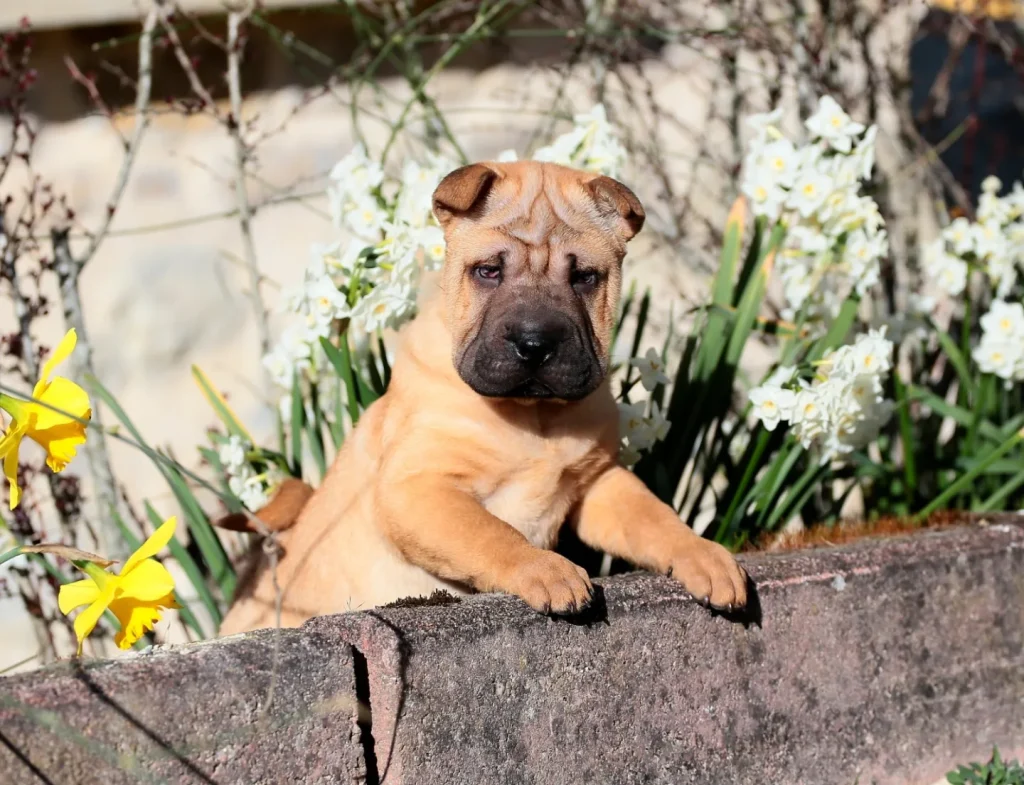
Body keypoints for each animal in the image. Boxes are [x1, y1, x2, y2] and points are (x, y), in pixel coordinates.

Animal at [218, 162, 745, 634]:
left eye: (585, 277)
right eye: (488, 271)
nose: (535, 343)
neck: (534, 417)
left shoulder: (600, 482)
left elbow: (655, 516)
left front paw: (705, 554)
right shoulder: (418, 488)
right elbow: (493, 533)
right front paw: (545, 569)